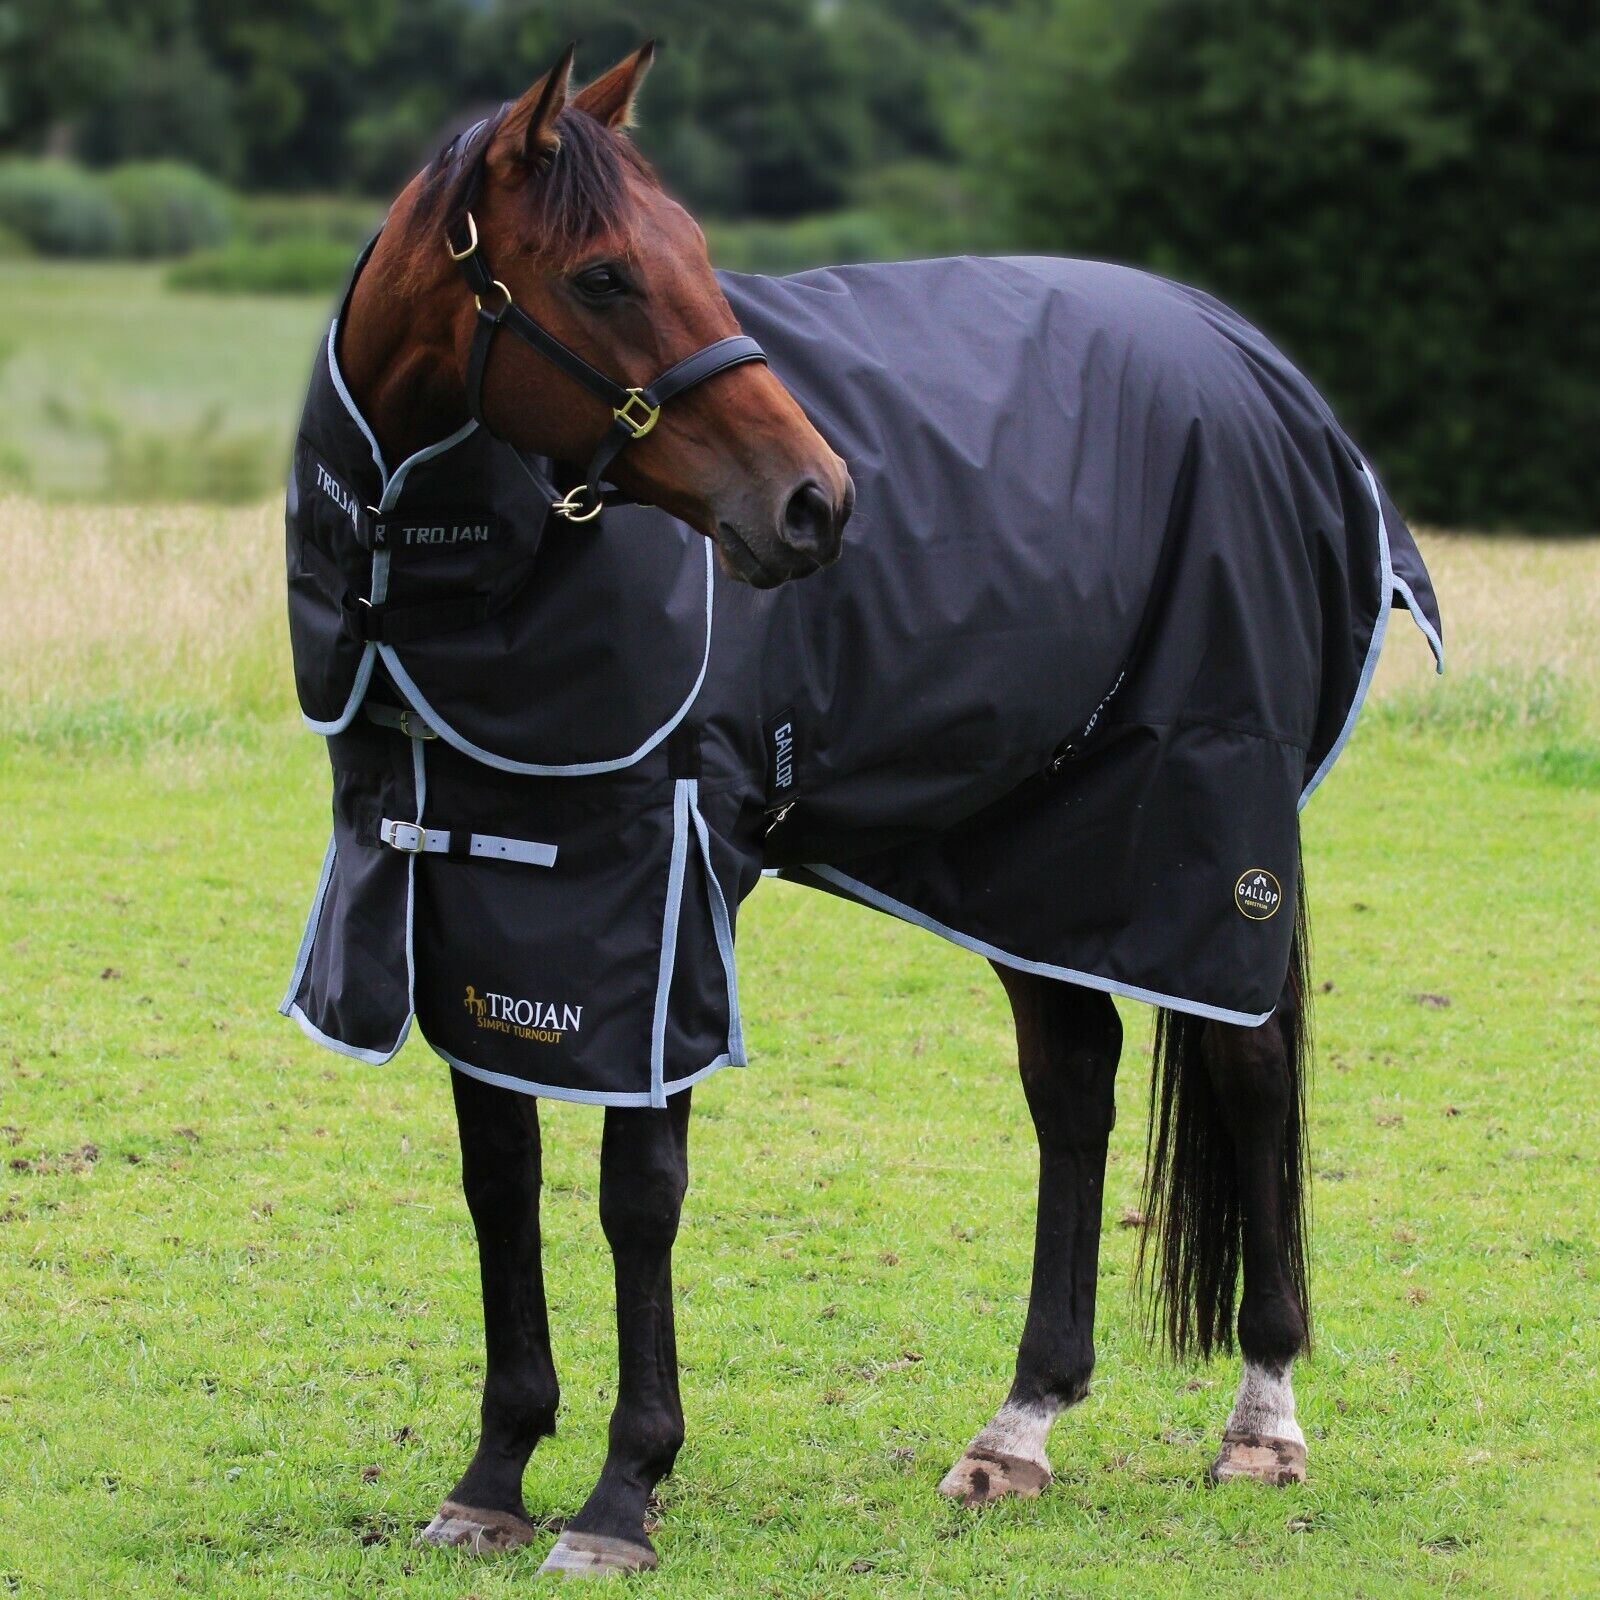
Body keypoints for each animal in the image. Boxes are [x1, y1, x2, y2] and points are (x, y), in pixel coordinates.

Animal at [289, 44, 1442, 1578]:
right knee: (1073, 1082)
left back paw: (1262, 1421)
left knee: (1246, 1068)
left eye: (698, 254)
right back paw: (1019, 1428)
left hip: (1210, 835)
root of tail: (1255, 366)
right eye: (602, 274)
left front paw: (619, 1495)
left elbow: (638, 1192)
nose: (815, 502)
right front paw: (491, 1474)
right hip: (1041, 852)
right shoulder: (476, 884)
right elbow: (500, 1177)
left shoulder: (662, 890)